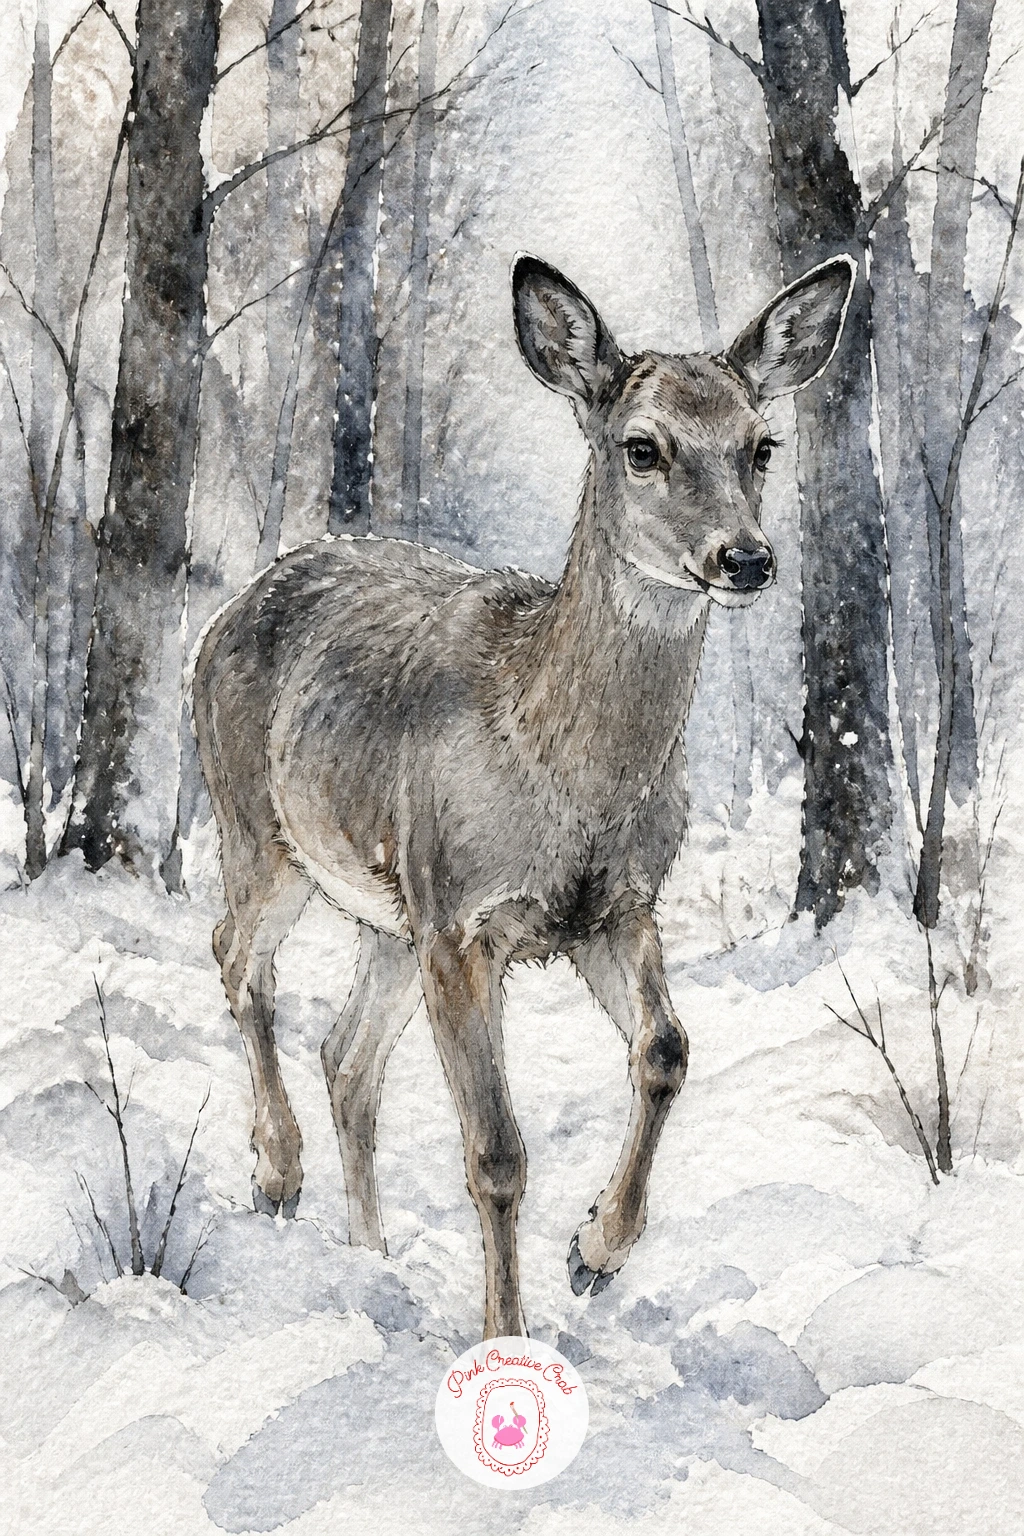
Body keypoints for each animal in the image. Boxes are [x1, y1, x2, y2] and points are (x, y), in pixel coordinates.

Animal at [191, 251, 856, 1340]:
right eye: (642, 447)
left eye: (762, 445)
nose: (745, 557)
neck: (565, 772)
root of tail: (231, 610)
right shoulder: (463, 922)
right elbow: (497, 1151)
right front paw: (507, 1332)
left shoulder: (615, 908)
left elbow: (666, 1047)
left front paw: (596, 1249)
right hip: (258, 827)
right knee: (238, 959)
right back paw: (277, 1174)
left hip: (386, 914)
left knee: (345, 1054)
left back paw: (370, 1254)